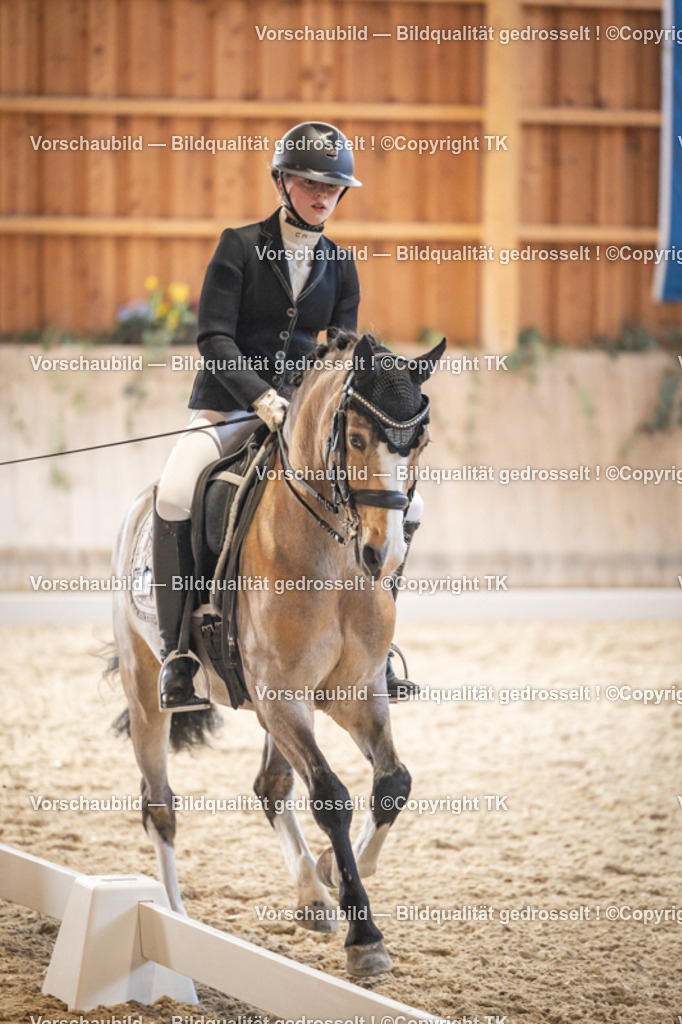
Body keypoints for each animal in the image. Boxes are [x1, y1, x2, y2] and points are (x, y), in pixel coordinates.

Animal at [110, 332, 445, 978]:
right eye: (356, 439)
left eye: (418, 443)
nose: (384, 557)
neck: (332, 558)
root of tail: (136, 507)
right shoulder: (282, 697)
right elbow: (332, 797)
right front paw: (365, 937)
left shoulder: (356, 693)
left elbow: (393, 782)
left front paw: (338, 874)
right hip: (145, 688)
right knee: (159, 804)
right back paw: (174, 925)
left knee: (270, 785)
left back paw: (312, 894)